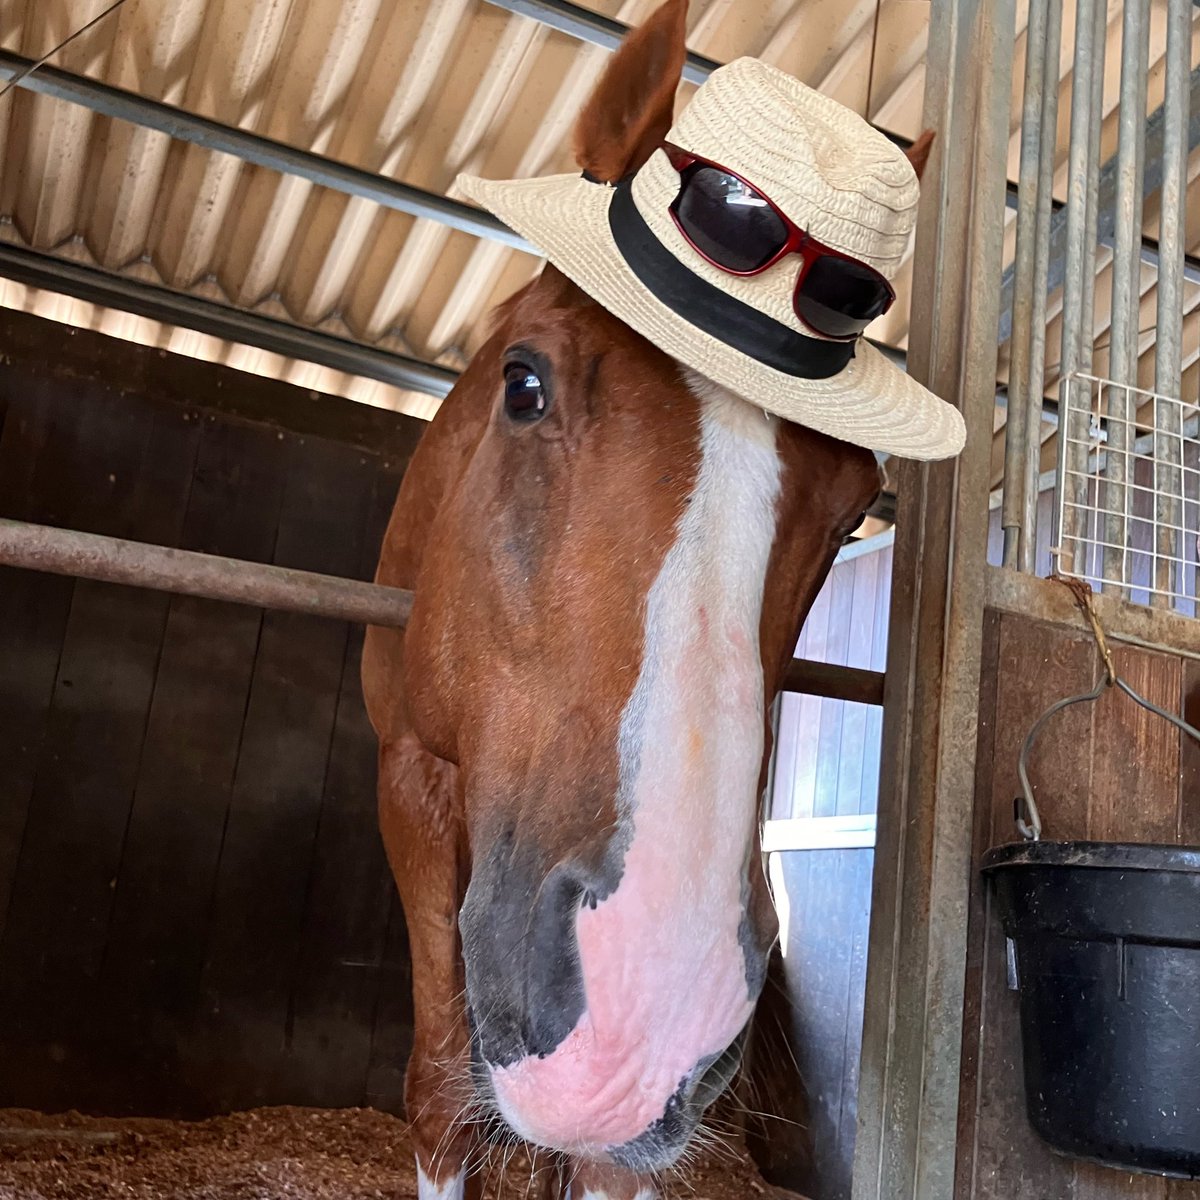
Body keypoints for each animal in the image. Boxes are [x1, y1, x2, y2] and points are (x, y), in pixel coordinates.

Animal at [362, 4, 925, 1196]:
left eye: (857, 507)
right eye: (525, 384)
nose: (649, 1009)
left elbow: (605, 1166)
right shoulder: (410, 770)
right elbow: (438, 1093)